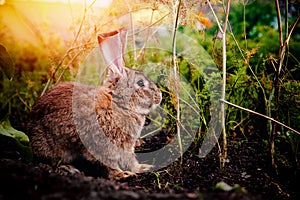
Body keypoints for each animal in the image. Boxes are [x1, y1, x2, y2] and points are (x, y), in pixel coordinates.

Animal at [27, 27, 163, 180]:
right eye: (140, 83)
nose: (160, 96)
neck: (118, 103)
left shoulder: (126, 147)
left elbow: (130, 161)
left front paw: (142, 168)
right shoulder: (102, 145)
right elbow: (110, 164)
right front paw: (122, 175)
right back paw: (69, 169)